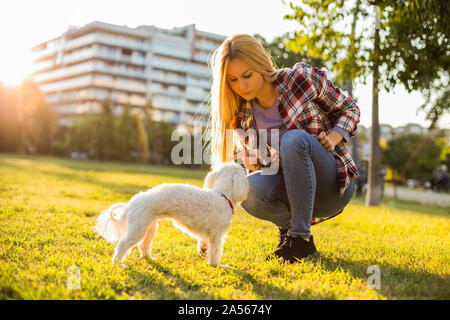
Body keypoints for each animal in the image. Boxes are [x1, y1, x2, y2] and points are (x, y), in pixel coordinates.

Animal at [94, 162, 250, 268]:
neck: (222, 196)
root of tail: (131, 203)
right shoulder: (217, 235)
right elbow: (216, 252)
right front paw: (216, 265)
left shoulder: (208, 234)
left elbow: (204, 244)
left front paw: (203, 251)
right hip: (138, 229)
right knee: (123, 245)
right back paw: (117, 263)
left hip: (150, 227)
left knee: (144, 246)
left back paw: (149, 258)